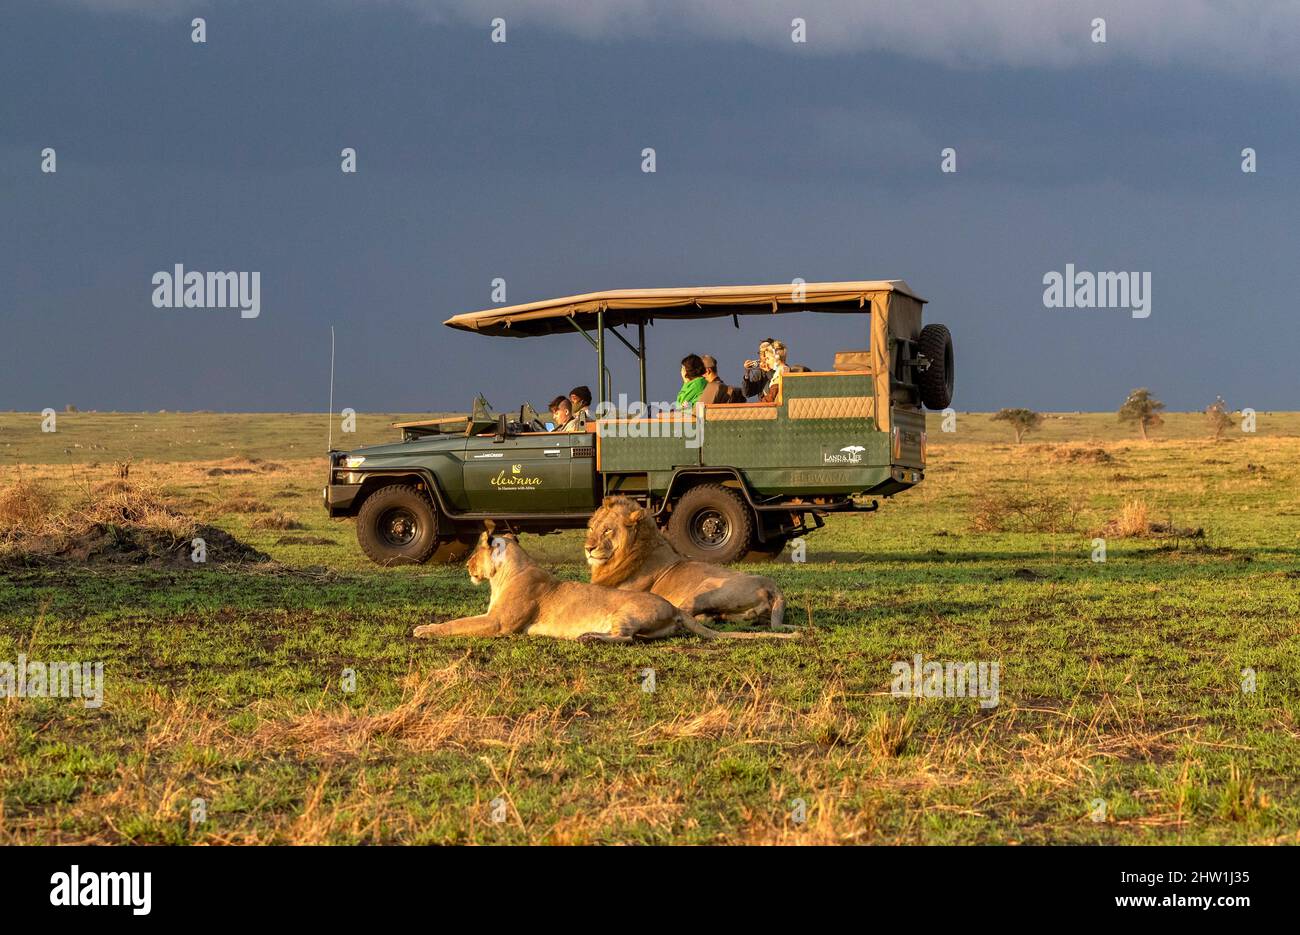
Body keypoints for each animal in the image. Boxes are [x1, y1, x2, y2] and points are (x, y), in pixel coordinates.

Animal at [413, 532, 796, 643]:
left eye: (475, 552)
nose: (467, 567)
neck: (507, 572)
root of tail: (673, 608)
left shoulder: (499, 624)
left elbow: (458, 624)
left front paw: (424, 629)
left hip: (624, 612)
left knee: (626, 638)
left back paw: (589, 637)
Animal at [584, 497, 793, 632]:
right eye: (592, 528)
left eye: (608, 530)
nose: (588, 548)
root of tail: (773, 586)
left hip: (706, 588)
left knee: (681, 613)